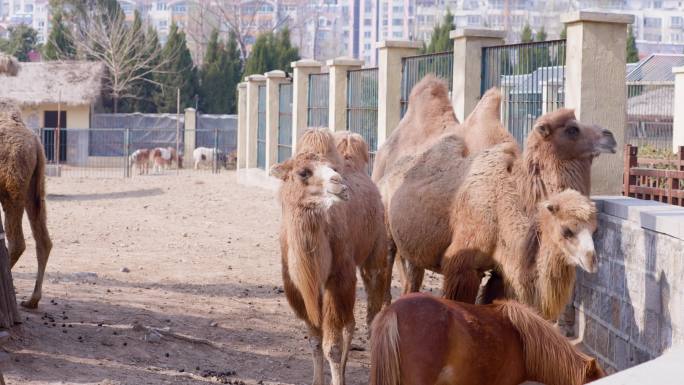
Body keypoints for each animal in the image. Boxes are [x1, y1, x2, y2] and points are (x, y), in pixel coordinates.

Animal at [0, 100, 52, 308]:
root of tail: (36, 143)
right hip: (35, 185)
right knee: (43, 239)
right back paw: (31, 300)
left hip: (11, 185)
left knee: (17, 241)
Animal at [272, 127, 390, 382]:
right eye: (303, 172)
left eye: (334, 169)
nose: (341, 185)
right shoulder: (301, 287)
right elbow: (315, 342)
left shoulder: (337, 279)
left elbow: (332, 347)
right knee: (351, 322)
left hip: (375, 252)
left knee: (369, 316)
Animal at [376, 76, 616, 304]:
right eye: (572, 129)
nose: (610, 136)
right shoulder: (462, 265)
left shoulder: (501, 272)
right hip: (386, 231)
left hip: (414, 246)